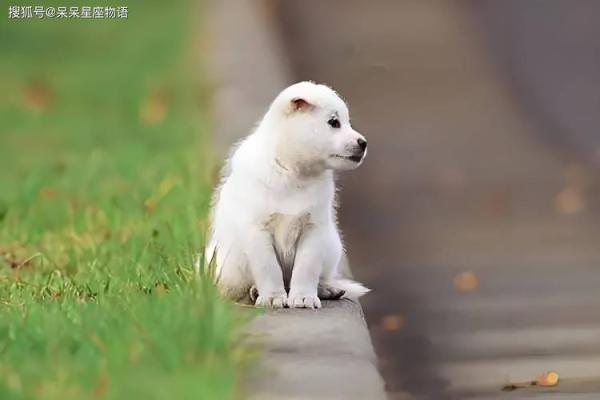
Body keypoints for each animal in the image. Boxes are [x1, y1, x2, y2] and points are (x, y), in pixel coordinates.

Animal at [206, 79, 368, 308]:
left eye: (347, 122)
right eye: (334, 122)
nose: (363, 143)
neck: (293, 174)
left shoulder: (314, 229)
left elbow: (306, 268)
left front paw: (303, 297)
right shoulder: (257, 231)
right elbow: (269, 268)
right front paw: (273, 297)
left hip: (332, 245)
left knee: (320, 276)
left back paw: (328, 289)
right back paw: (255, 291)